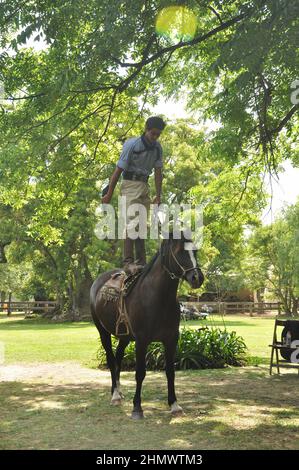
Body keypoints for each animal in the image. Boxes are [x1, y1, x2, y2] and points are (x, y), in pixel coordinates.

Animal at [90, 233, 205, 420]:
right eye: (180, 251)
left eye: (195, 250)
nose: (197, 277)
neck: (158, 297)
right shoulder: (142, 341)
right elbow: (140, 373)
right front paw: (137, 408)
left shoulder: (171, 339)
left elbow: (170, 372)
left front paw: (174, 405)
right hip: (103, 333)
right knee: (111, 359)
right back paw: (115, 395)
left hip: (125, 337)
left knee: (118, 358)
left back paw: (119, 391)